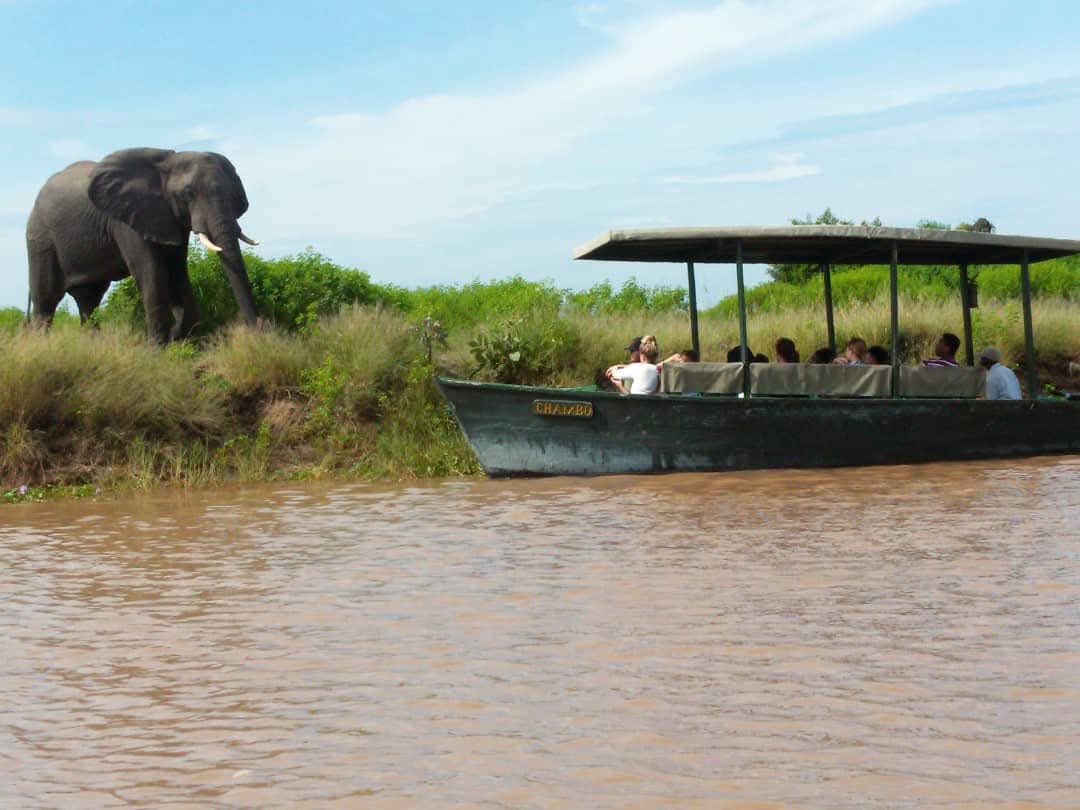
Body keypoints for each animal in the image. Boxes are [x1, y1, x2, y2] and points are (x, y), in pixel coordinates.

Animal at [26, 147, 260, 342]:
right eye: (187, 194)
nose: (257, 334)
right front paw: (159, 349)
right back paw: (42, 347)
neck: (167, 163)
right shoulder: (126, 219)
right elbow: (151, 271)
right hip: (41, 239)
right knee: (46, 301)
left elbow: (177, 272)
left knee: (89, 300)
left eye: (232, 194)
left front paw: (184, 339)